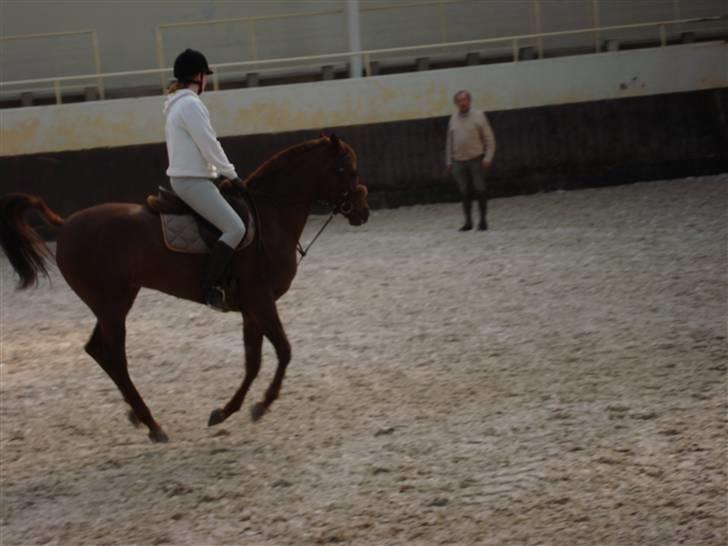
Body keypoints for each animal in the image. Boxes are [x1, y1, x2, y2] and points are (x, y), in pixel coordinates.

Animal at [0, 135, 366, 442]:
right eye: (347, 170)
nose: (363, 213)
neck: (271, 215)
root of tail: (65, 224)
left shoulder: (251, 307)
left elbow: (253, 362)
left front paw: (224, 411)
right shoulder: (261, 301)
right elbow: (284, 351)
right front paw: (262, 405)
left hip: (116, 301)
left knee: (98, 350)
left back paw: (138, 416)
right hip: (111, 304)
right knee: (114, 357)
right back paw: (151, 423)